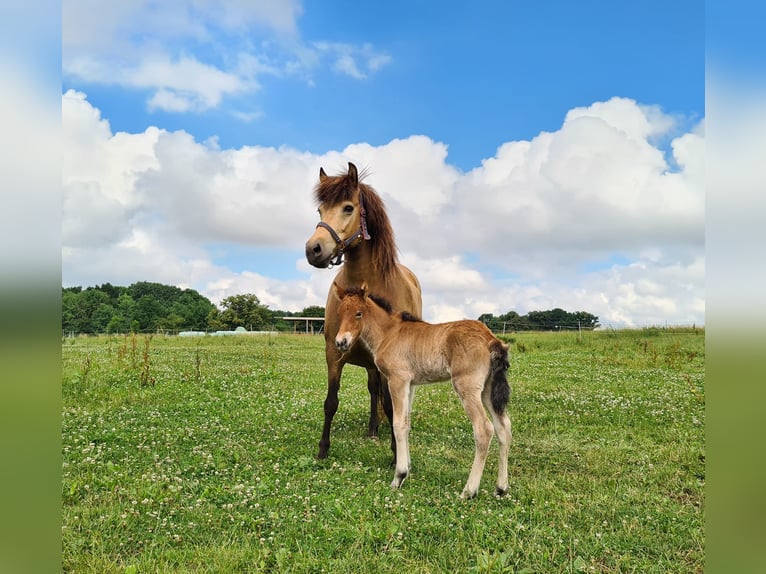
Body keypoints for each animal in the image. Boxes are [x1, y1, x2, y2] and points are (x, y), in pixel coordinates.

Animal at [304, 162, 423, 459]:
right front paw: (323, 448)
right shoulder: (334, 353)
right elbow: (331, 402)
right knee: (373, 390)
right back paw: (372, 428)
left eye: (348, 208)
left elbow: (391, 406)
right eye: (320, 210)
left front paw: (395, 451)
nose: (313, 249)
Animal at [332, 282, 512, 499]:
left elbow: (398, 424)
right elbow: (407, 423)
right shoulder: (411, 384)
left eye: (358, 313)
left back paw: (469, 491)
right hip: (487, 389)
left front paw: (399, 476)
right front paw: (407, 467)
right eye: (340, 312)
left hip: (467, 387)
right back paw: (501, 488)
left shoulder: (397, 380)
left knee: (484, 429)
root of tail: (490, 338)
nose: (341, 342)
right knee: (504, 426)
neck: (389, 333)